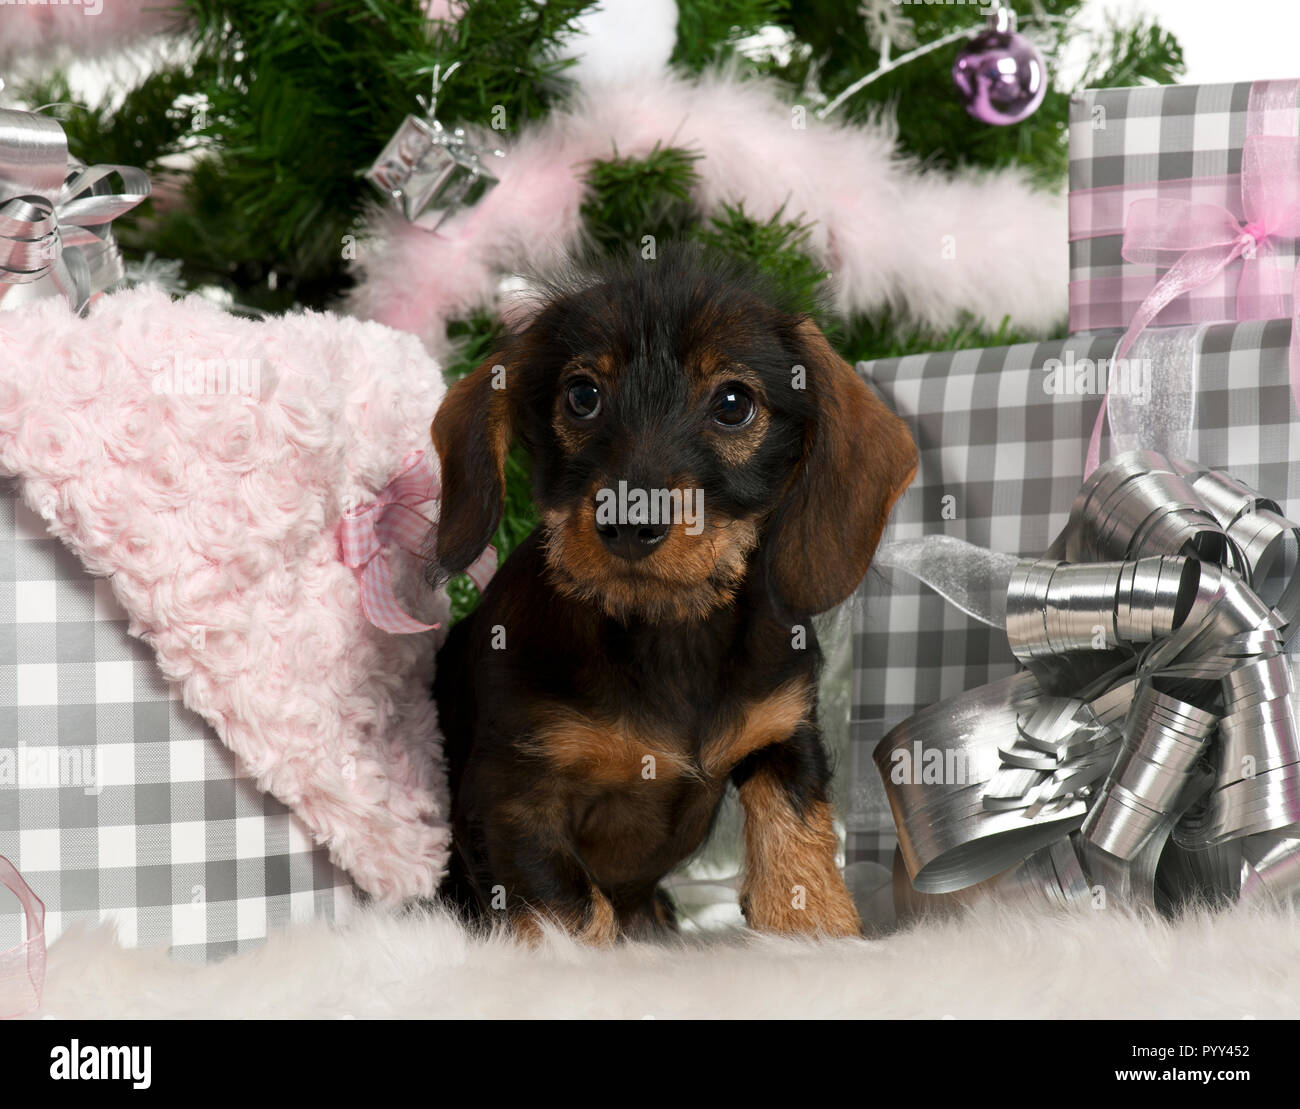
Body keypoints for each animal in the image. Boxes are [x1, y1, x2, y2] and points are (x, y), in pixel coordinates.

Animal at [426, 250, 915, 941]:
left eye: (734, 403)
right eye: (581, 396)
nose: (630, 520)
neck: (668, 631)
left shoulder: (784, 733)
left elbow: (798, 843)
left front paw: (816, 925)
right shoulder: (510, 798)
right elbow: (569, 908)